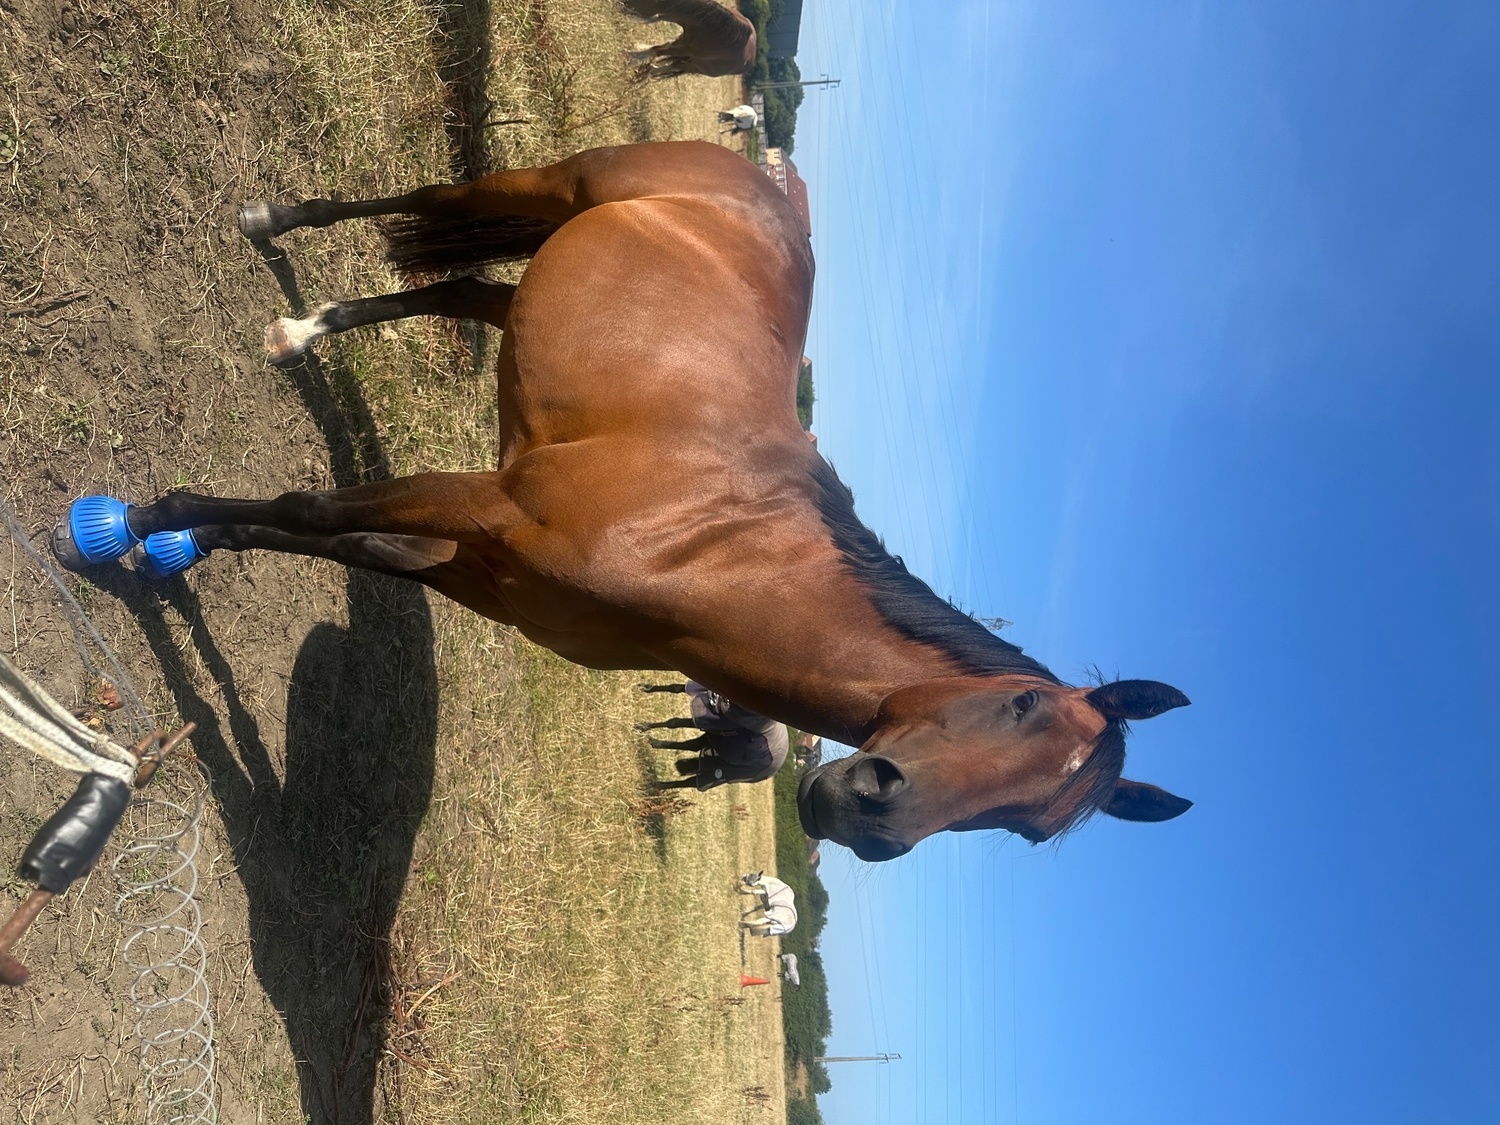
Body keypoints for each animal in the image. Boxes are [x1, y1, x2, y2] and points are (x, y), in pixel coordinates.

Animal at [622, 0, 757, 79]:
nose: (620, 4)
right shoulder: (685, 36)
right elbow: (658, 46)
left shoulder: (687, 49)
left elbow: (657, 51)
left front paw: (631, 58)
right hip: (686, 47)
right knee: (669, 52)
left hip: (696, 65)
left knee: (674, 65)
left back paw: (649, 71)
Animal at [636, 680, 788, 789]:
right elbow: (676, 687)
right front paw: (647, 688)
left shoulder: (711, 720)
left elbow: (674, 722)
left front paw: (643, 726)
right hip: (715, 742)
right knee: (693, 746)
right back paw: (656, 745)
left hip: (723, 772)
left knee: (692, 781)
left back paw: (657, 785)